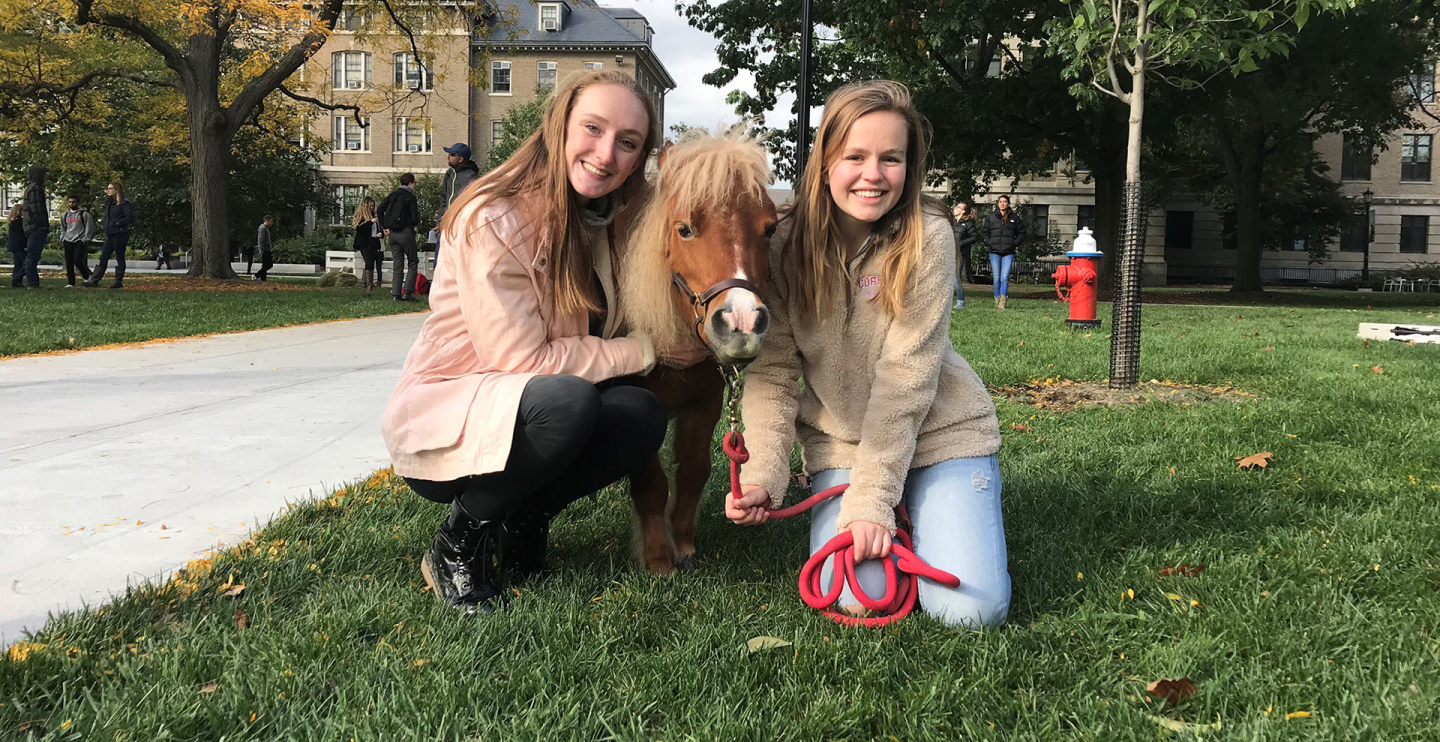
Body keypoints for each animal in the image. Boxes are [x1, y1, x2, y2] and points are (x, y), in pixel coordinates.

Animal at [617, 128, 778, 574]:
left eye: (770, 229)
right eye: (684, 229)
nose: (742, 323)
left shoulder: (705, 402)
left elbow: (693, 471)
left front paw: (684, 544)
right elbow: (651, 485)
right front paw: (658, 558)